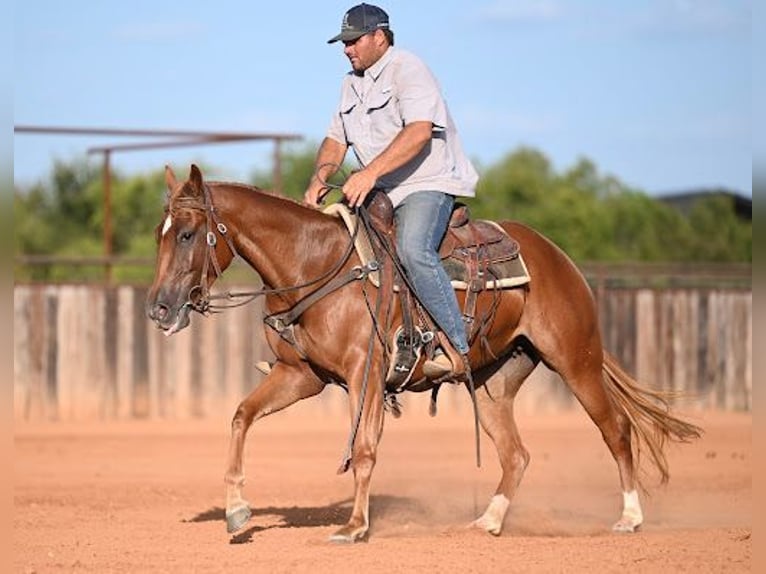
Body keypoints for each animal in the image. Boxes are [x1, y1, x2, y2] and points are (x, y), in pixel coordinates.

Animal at [146, 164, 701, 543]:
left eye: (189, 233)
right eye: (160, 235)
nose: (159, 308)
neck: (318, 264)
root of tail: (559, 257)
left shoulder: (364, 374)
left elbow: (364, 449)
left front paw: (354, 526)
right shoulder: (299, 375)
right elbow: (241, 416)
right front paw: (236, 512)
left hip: (576, 357)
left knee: (616, 429)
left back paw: (629, 517)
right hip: (495, 382)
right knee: (516, 454)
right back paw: (489, 520)